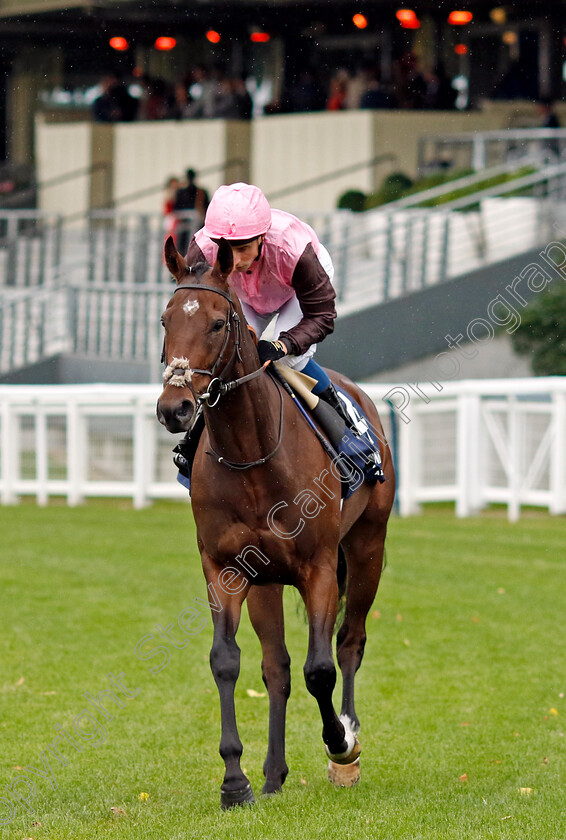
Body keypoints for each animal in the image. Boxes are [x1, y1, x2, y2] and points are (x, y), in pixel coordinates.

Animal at [155, 235, 394, 808]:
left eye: (219, 323)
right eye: (165, 319)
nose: (174, 408)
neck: (252, 454)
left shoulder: (319, 568)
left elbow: (320, 668)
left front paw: (338, 743)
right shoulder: (225, 568)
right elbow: (228, 661)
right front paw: (235, 780)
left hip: (368, 547)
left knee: (349, 642)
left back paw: (348, 740)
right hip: (266, 581)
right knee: (277, 667)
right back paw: (272, 773)